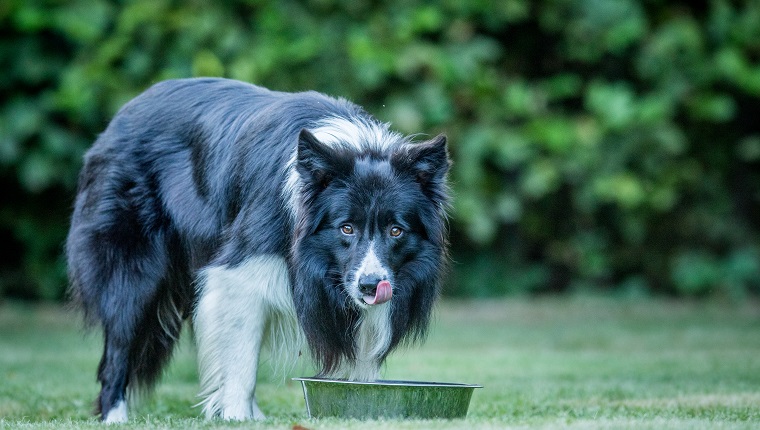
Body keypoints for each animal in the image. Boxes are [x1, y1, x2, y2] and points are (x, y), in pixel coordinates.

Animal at [65, 78, 448, 424]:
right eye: (346, 228)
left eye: (396, 230)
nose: (370, 287)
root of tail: (119, 118)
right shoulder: (239, 269)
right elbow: (241, 356)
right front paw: (236, 415)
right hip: (132, 265)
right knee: (120, 338)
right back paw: (115, 415)